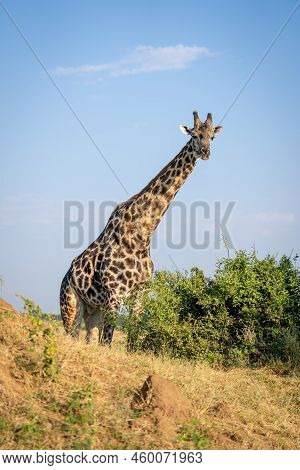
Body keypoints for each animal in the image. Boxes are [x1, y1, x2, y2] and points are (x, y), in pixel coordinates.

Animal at [59, 110, 221, 346]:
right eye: (194, 135)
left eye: (212, 137)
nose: (206, 152)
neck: (142, 234)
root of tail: (66, 276)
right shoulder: (114, 293)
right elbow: (108, 342)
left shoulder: (140, 293)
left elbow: (132, 338)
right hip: (71, 305)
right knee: (72, 335)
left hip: (93, 310)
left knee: (89, 338)